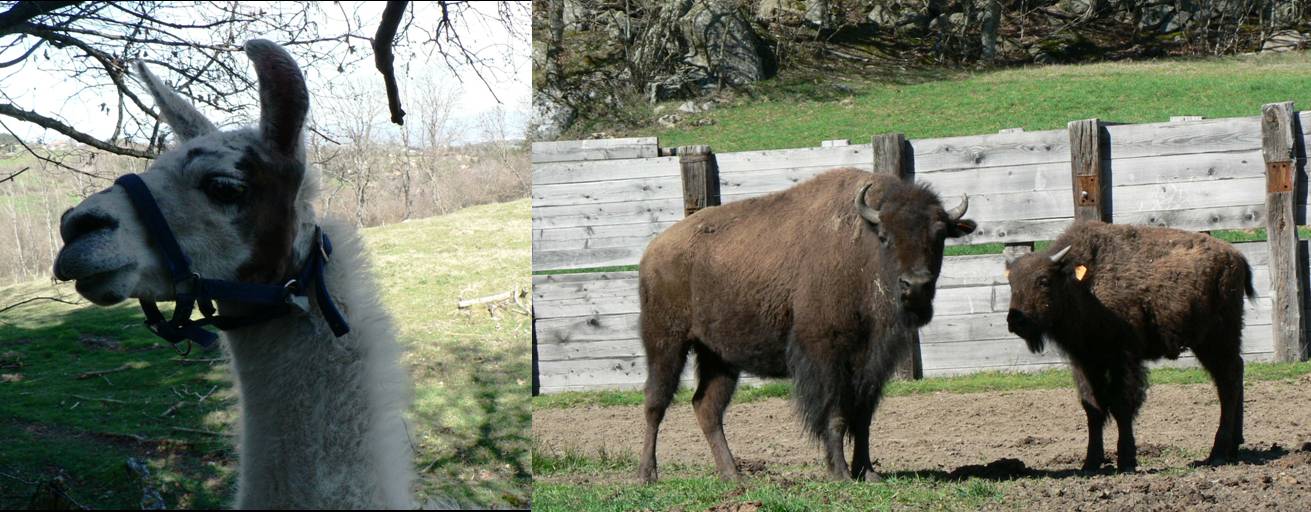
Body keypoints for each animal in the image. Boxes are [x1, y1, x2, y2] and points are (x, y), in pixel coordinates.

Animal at [634, 168, 975, 484]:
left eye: (939, 235)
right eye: (885, 237)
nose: (915, 286)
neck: (860, 251)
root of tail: (653, 251)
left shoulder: (872, 365)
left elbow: (863, 417)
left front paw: (868, 473)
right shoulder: (826, 356)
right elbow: (835, 415)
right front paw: (840, 474)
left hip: (718, 357)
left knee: (707, 407)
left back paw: (733, 475)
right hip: (666, 343)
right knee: (655, 403)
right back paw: (647, 474)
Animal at [1006, 219, 1253, 474]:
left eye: (1043, 281)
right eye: (1011, 283)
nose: (1015, 320)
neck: (1084, 285)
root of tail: (1237, 256)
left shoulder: (1122, 359)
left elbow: (1121, 406)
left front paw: (1126, 461)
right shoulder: (1085, 362)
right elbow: (1093, 409)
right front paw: (1090, 464)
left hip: (1216, 339)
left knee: (1228, 382)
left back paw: (1217, 454)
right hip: (1212, 343)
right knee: (1235, 374)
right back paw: (1233, 447)